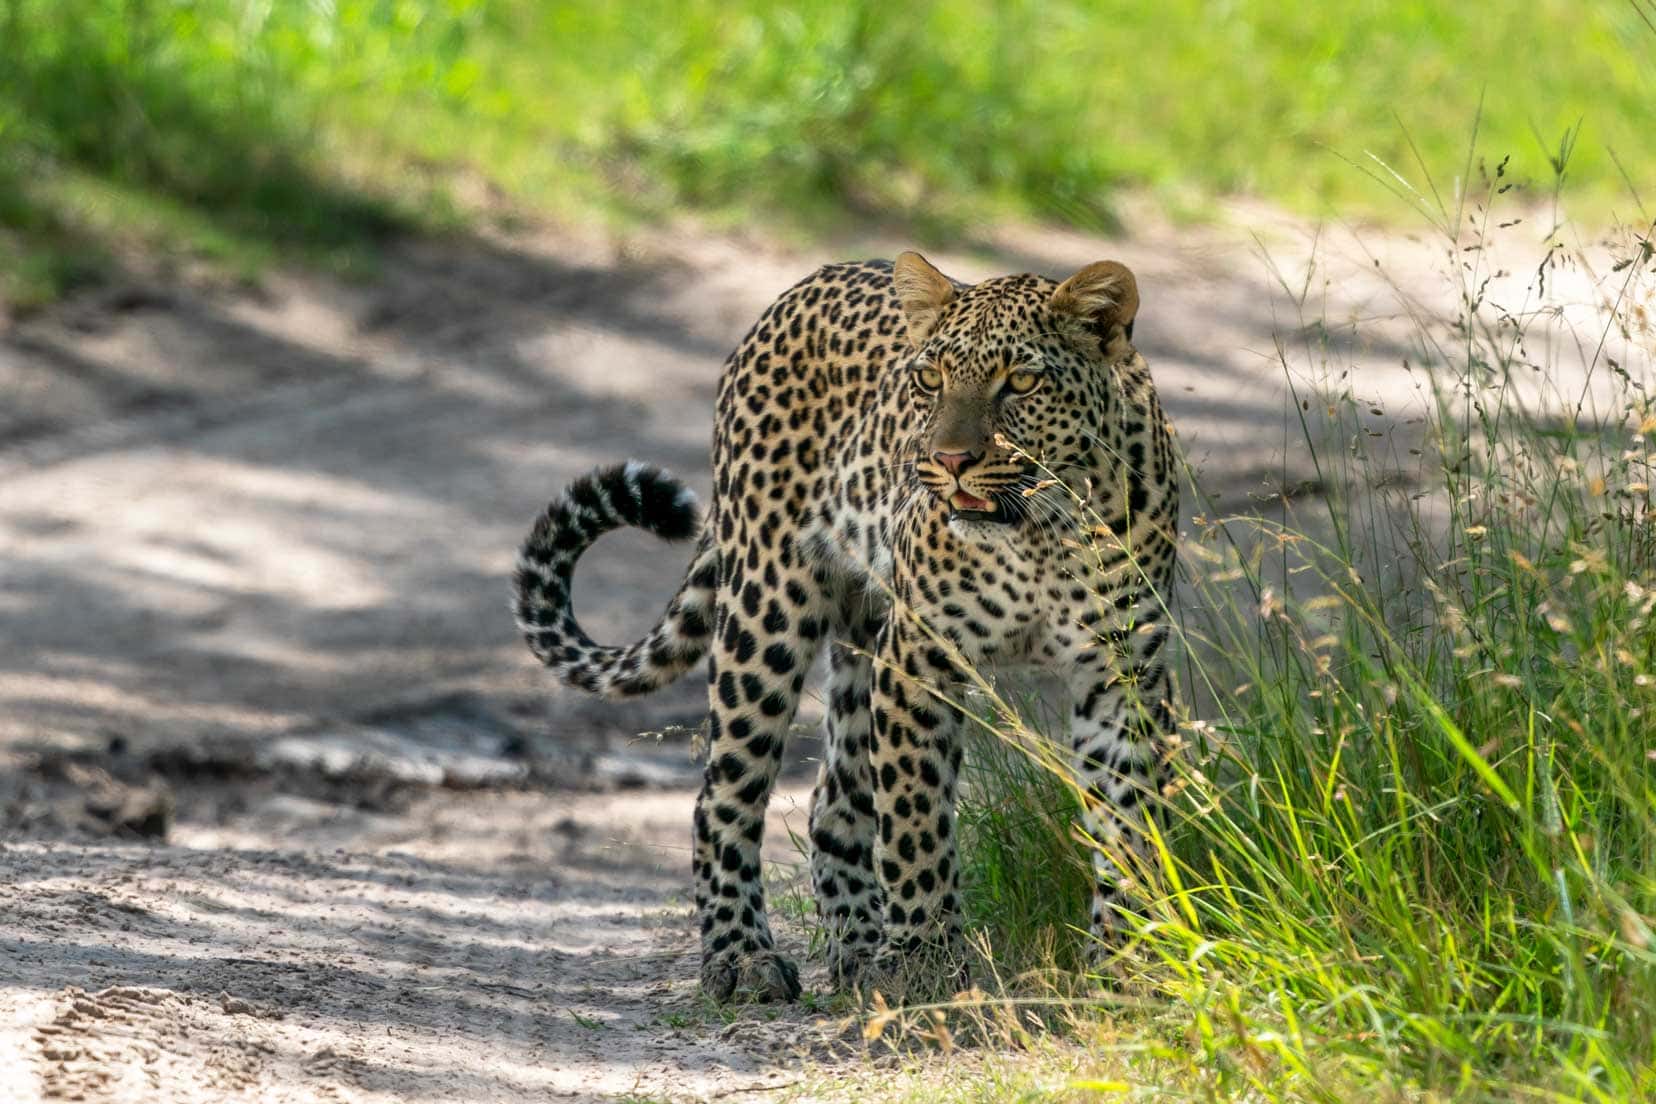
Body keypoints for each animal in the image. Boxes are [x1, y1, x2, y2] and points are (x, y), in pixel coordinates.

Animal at [513, 254, 1179, 1006]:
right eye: (930, 379)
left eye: (1022, 382)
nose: (949, 460)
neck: (1042, 533)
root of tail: (796, 291)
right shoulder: (919, 661)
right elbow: (915, 823)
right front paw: (926, 963)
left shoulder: (1120, 675)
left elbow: (1129, 825)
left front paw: (1130, 962)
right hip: (767, 608)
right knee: (723, 796)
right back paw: (743, 958)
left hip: (862, 638)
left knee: (832, 802)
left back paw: (859, 951)